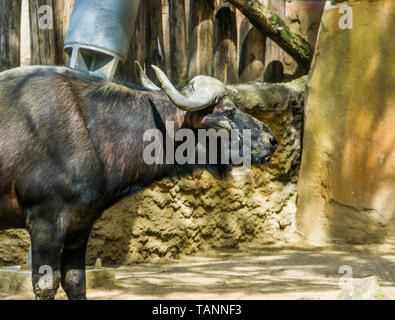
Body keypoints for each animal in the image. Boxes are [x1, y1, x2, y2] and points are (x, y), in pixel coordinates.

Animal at [0, 65, 278, 300]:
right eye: (228, 111)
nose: (272, 140)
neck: (91, 127)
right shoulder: (46, 221)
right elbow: (46, 286)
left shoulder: (80, 225)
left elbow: (76, 282)